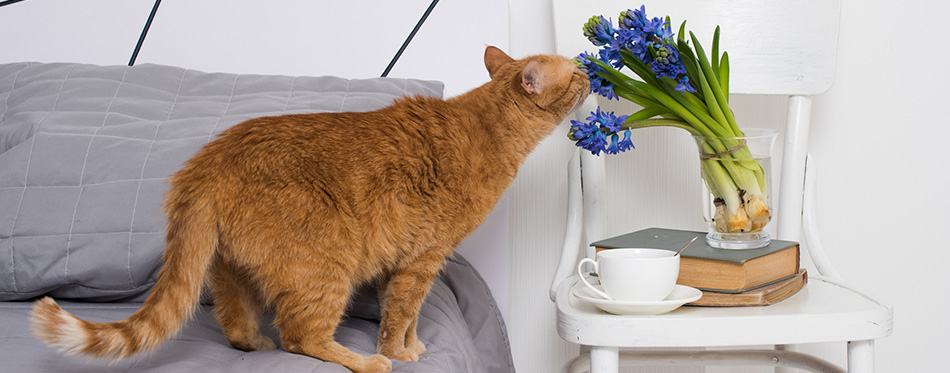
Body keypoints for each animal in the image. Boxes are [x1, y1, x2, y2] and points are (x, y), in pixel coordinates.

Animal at [29, 46, 588, 372]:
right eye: (579, 72)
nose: (591, 72)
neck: (488, 128)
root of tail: (207, 162)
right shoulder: (423, 260)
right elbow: (399, 319)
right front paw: (398, 354)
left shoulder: (405, 265)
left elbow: (402, 316)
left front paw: (411, 346)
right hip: (326, 268)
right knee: (300, 338)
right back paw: (362, 361)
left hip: (231, 271)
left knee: (238, 326)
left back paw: (255, 344)